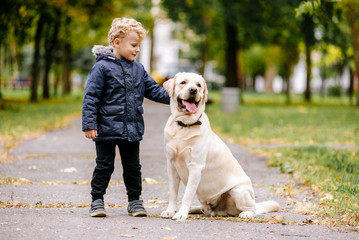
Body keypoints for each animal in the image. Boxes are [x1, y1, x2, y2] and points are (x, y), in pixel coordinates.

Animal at [161, 72, 282, 220]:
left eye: (198, 85)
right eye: (183, 82)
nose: (193, 90)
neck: (184, 126)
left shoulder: (195, 167)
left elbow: (187, 194)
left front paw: (181, 213)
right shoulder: (171, 165)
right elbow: (172, 193)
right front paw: (170, 211)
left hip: (238, 191)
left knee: (252, 208)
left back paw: (246, 213)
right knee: (205, 209)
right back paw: (196, 209)